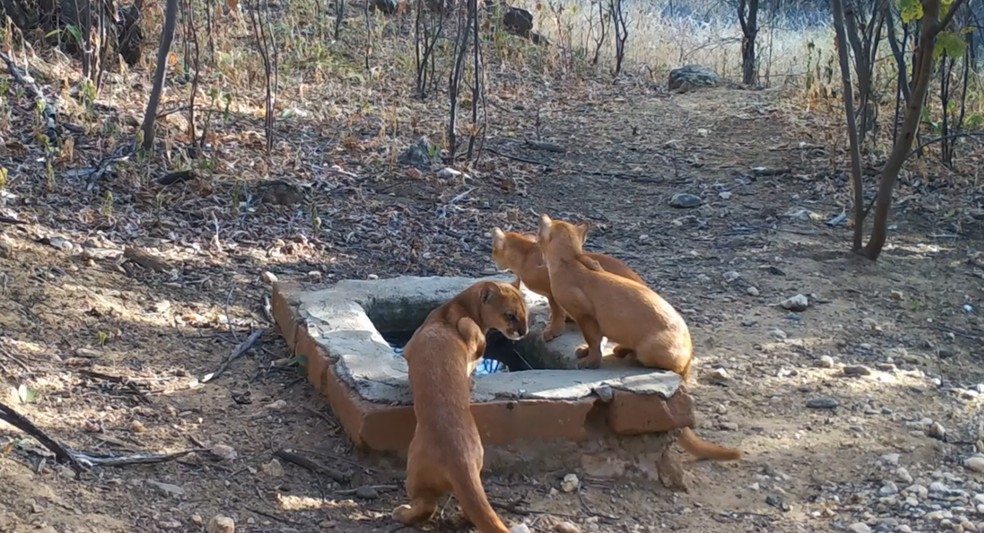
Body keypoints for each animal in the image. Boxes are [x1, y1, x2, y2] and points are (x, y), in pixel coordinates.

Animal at [390, 280, 532, 528]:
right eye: (511, 315)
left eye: (526, 314)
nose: (523, 332)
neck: (453, 308)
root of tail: (461, 459)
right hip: (477, 467)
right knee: (472, 507)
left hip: (414, 470)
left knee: (427, 507)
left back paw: (402, 513)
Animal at [540, 213, 736, 462]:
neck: (569, 264)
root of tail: (690, 356)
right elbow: (591, 342)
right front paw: (583, 351)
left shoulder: (586, 316)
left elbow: (594, 342)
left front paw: (589, 361)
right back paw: (621, 350)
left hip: (649, 348)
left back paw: (630, 356)